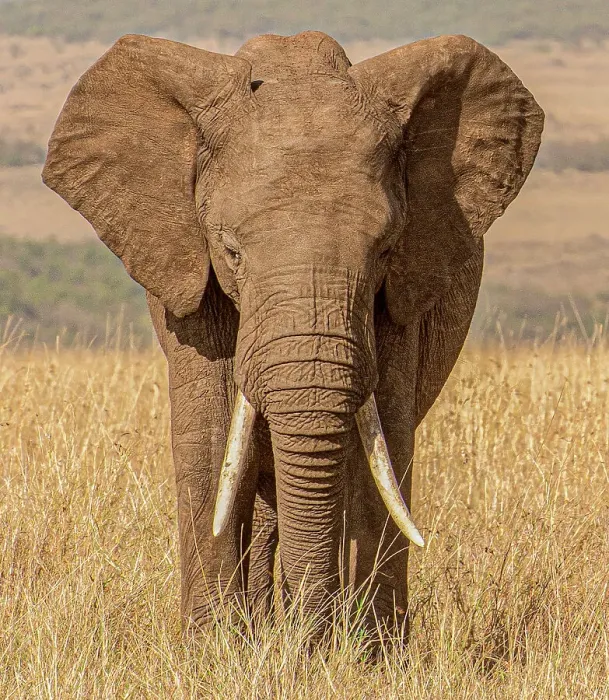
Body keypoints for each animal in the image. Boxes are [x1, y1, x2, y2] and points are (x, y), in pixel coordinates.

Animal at [42, 30, 543, 641]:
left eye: (384, 251)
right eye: (231, 251)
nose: (310, 635)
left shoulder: (403, 290)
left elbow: (381, 442)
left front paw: (363, 651)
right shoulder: (187, 273)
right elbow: (210, 435)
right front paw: (216, 647)